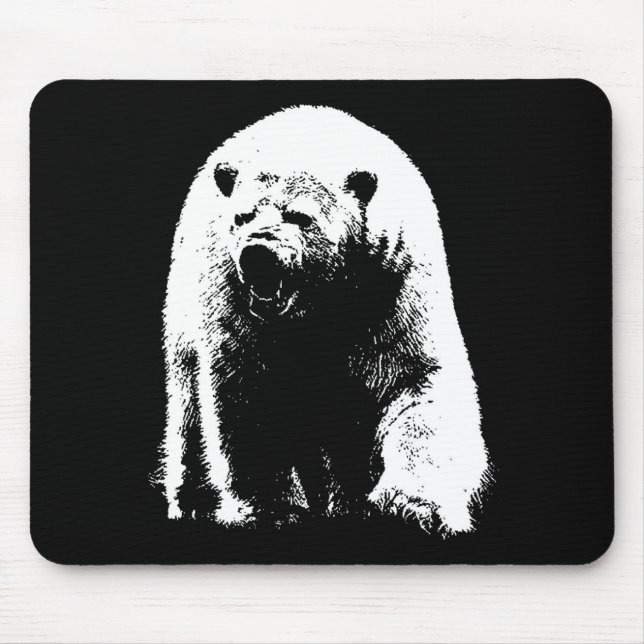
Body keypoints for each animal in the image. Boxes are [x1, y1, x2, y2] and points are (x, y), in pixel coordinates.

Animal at [158, 105, 491, 535]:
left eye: (300, 216)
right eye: (243, 217)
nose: (258, 253)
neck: (318, 305)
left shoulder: (392, 284)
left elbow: (416, 384)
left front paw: (411, 507)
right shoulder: (234, 302)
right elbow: (246, 393)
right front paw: (273, 510)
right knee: (187, 408)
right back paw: (194, 503)